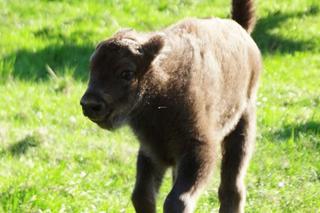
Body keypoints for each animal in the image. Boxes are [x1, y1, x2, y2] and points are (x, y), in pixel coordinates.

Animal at [80, 0, 262, 211]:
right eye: (92, 68)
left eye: (126, 73)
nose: (90, 103)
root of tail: (240, 28)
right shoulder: (152, 151)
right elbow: (142, 195)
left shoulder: (199, 147)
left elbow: (177, 199)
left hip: (242, 123)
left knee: (231, 187)